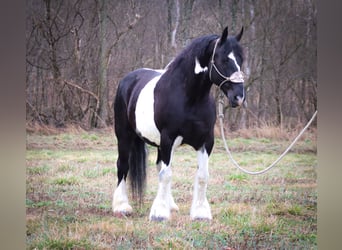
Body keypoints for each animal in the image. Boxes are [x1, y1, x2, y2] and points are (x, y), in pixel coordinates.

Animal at [113, 26, 244, 220]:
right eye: (224, 59)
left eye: (241, 59)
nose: (239, 97)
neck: (189, 98)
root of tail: (128, 79)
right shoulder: (168, 138)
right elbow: (166, 175)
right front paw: (159, 213)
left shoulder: (206, 141)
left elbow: (202, 175)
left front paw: (200, 212)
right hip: (124, 136)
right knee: (123, 165)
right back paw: (121, 206)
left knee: (159, 165)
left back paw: (171, 205)